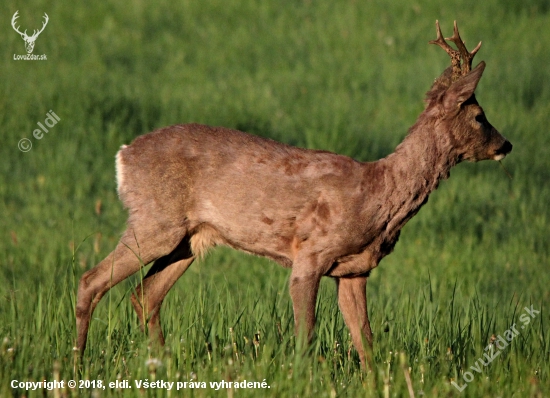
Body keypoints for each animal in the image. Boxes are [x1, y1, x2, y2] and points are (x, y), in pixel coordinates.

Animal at [74, 20, 512, 366]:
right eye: (479, 116)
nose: (506, 144)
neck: (378, 195)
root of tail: (124, 155)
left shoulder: (354, 271)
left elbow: (366, 343)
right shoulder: (310, 254)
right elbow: (307, 335)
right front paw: (304, 377)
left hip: (189, 239)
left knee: (144, 296)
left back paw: (161, 365)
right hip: (155, 221)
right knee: (90, 281)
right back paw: (77, 365)